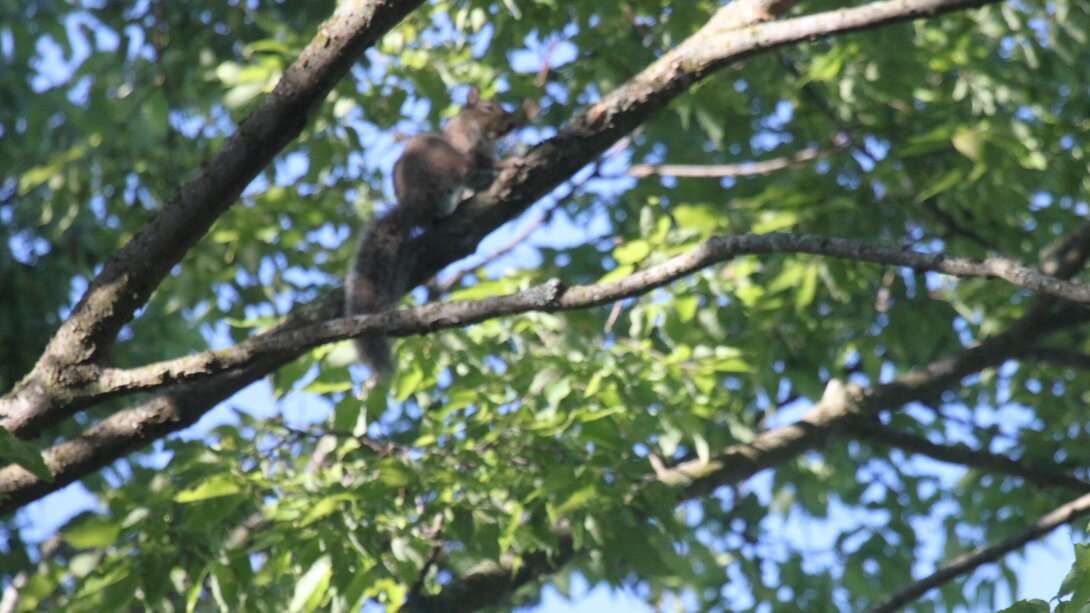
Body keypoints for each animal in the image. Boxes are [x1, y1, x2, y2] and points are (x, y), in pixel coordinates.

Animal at [348, 88, 518, 377]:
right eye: (487, 108)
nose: (511, 124)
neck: (481, 134)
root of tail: (415, 202)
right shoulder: (465, 144)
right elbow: (484, 160)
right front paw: (506, 162)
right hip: (445, 160)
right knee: (467, 172)